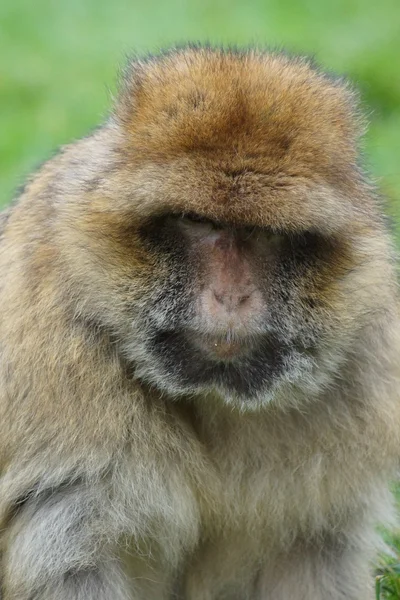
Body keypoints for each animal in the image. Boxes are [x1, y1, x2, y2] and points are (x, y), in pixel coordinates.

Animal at [0, 45, 400, 600]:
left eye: (264, 233)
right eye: (197, 221)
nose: (230, 296)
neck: (211, 397)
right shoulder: (50, 361)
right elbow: (71, 564)